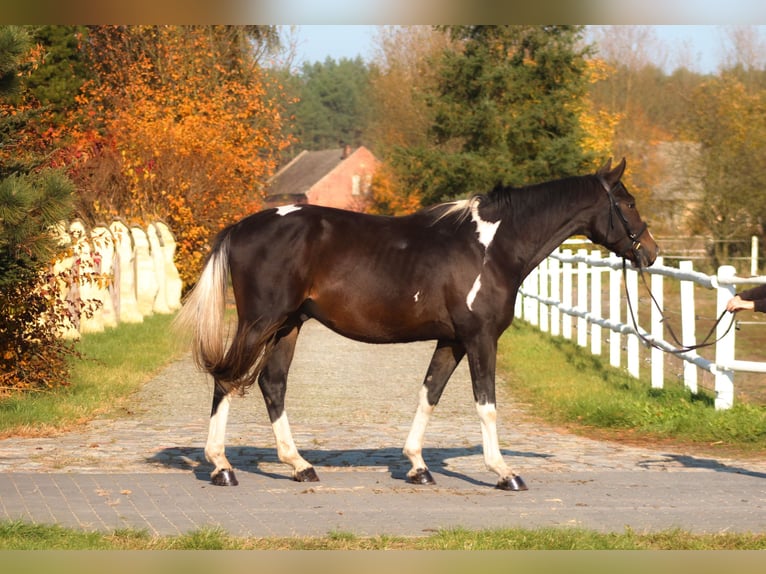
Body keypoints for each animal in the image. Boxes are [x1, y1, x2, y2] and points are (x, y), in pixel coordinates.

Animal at [174, 160, 660, 492]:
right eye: (629, 203)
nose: (652, 253)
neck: (492, 246)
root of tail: (240, 228)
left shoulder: (451, 340)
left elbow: (429, 395)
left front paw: (418, 466)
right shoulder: (480, 339)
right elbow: (486, 405)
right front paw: (504, 472)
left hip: (288, 325)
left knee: (271, 384)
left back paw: (300, 465)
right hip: (260, 322)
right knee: (227, 377)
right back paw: (221, 467)